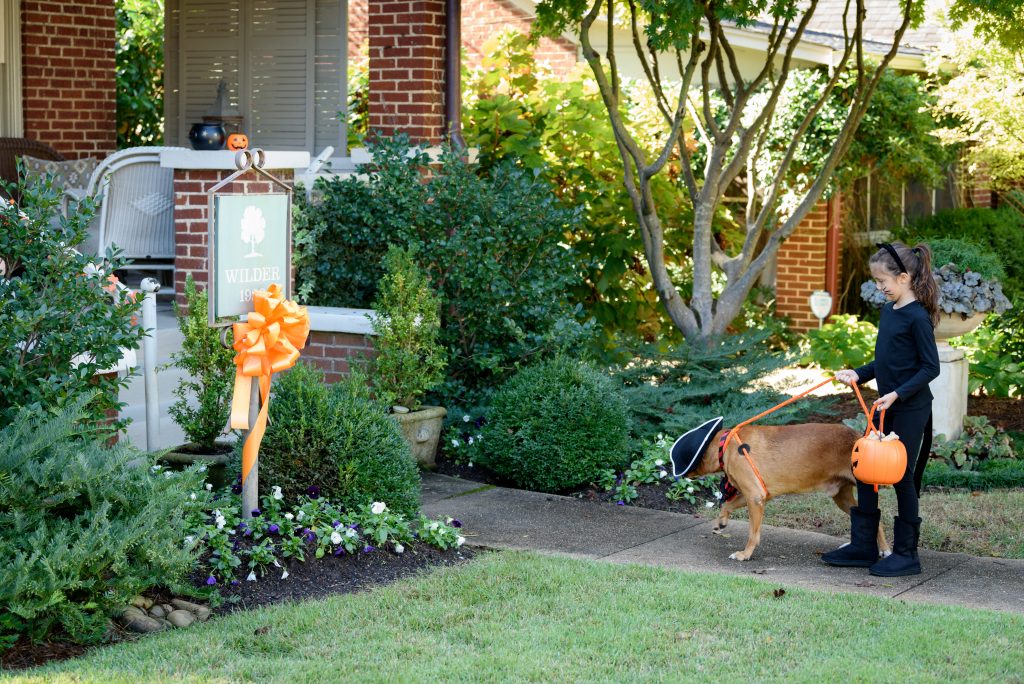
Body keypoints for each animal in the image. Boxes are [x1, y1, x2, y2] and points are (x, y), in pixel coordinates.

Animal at [675, 421, 884, 561]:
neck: (726, 445)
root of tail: (858, 436)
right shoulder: (757, 495)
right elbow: (727, 504)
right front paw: (721, 522)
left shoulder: (755, 496)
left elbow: (753, 534)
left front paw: (745, 554)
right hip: (842, 498)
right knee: (872, 519)